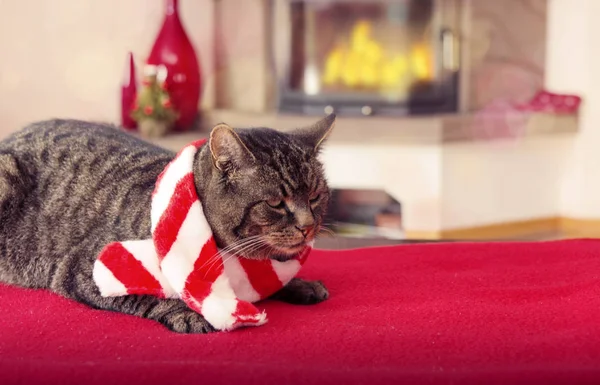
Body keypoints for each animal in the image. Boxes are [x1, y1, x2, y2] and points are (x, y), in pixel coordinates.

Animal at [0, 113, 336, 330]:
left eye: (315, 196)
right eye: (276, 203)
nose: (308, 226)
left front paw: (300, 284)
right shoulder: (89, 270)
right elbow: (149, 296)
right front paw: (190, 313)